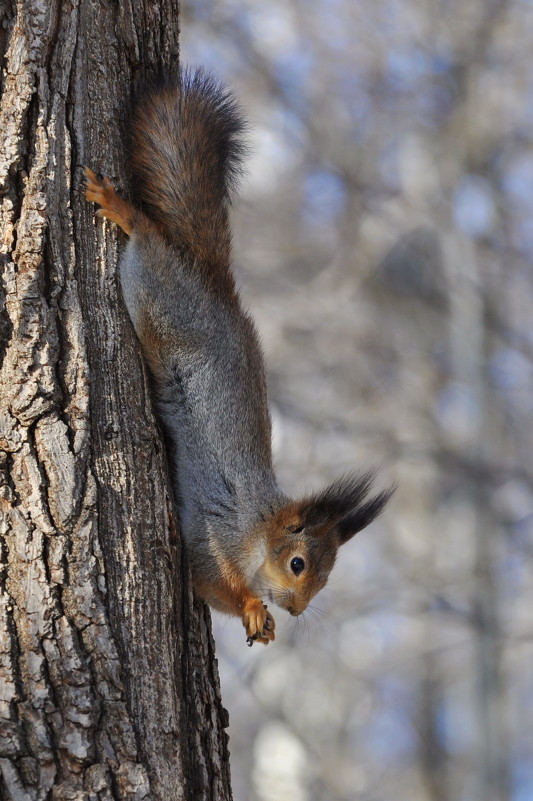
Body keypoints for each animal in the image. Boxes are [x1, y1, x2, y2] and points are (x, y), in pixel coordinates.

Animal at [83, 67, 390, 644]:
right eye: (297, 564)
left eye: (326, 576)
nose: (296, 610)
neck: (259, 530)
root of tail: (214, 285)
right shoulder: (214, 536)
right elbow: (211, 581)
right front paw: (253, 606)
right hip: (158, 300)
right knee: (150, 240)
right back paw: (123, 210)